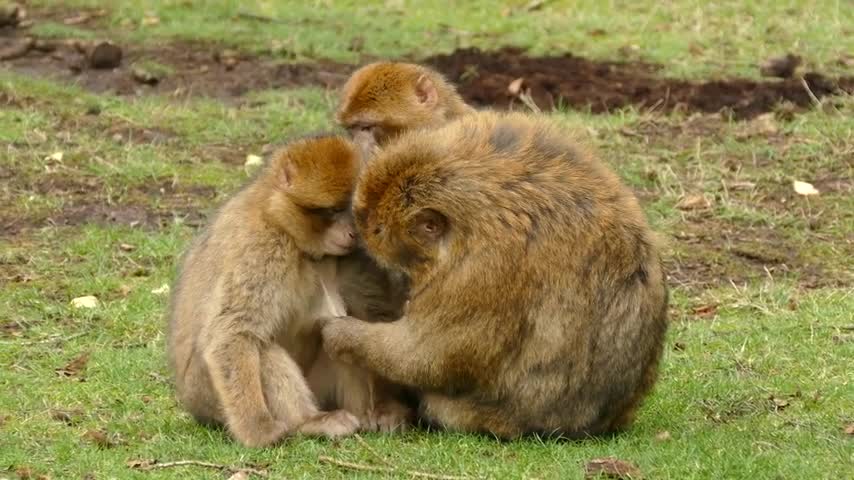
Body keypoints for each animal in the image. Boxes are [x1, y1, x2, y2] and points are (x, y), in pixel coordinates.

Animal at [166, 134, 408, 446]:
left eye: (351, 210)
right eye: (332, 211)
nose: (353, 233)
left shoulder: (356, 258)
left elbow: (372, 315)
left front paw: (388, 405)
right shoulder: (262, 249)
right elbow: (232, 333)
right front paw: (257, 430)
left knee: (339, 335)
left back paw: (369, 413)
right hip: (209, 397)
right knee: (263, 348)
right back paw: (309, 422)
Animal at [320, 111, 668, 438]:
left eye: (377, 229)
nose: (360, 232)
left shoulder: (480, 271)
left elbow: (430, 356)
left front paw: (344, 335)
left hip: (493, 416)